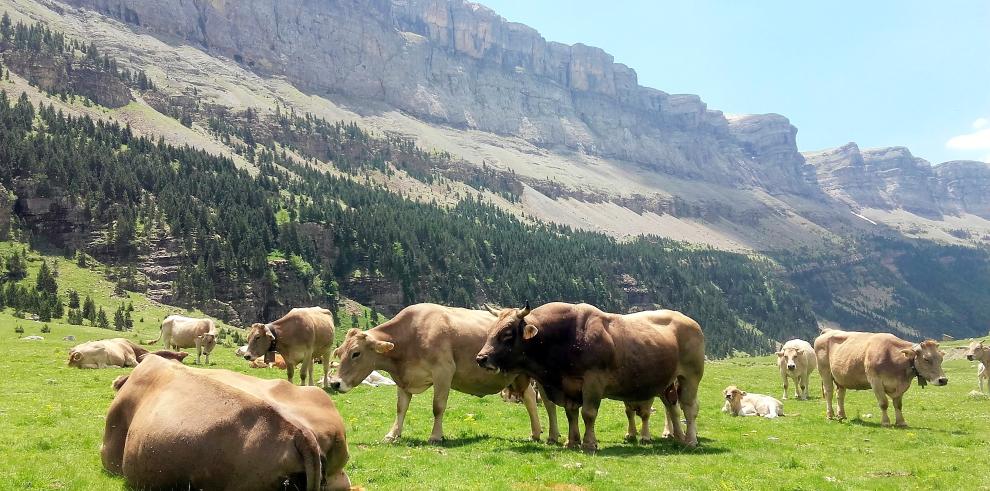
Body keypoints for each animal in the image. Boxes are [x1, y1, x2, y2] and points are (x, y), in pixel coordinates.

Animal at [328, 304, 548, 446]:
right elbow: (400, 408)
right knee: (529, 396)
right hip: (517, 377)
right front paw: (392, 434)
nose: (335, 383)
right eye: (339, 352)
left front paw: (435, 436)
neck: (412, 335)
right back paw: (536, 432)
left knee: (531, 398)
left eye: (356, 353)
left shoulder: (443, 372)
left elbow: (438, 407)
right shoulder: (403, 380)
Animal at [816, 328, 948, 428]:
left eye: (941, 358)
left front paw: (901, 422)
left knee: (840, 395)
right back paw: (830, 415)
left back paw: (841, 415)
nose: (943, 380)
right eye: (926, 359)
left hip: (841, 377)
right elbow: (883, 403)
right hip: (825, 371)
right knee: (829, 393)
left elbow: (898, 404)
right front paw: (885, 422)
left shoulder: (901, 386)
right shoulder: (875, 381)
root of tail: (828, 331)